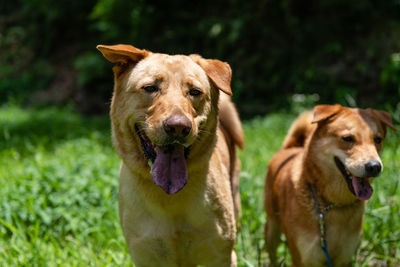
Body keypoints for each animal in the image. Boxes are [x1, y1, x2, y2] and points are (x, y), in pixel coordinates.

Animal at [97, 44, 244, 267]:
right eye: (150, 88)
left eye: (195, 92)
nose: (178, 127)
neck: (169, 197)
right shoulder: (146, 254)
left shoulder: (221, 255)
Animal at [264, 105, 396, 267]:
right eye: (347, 138)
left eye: (378, 139)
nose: (374, 166)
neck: (333, 204)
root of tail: (290, 148)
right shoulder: (305, 259)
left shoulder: (345, 258)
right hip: (271, 229)